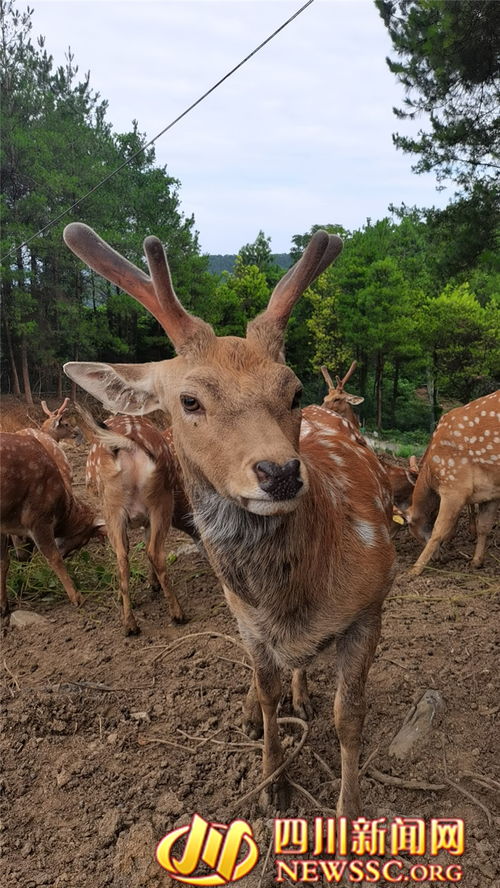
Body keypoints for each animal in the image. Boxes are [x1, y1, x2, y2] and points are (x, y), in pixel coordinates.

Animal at [0, 430, 103, 616]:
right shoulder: (38, 517)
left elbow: (3, 562)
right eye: (83, 541)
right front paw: (77, 597)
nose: (23, 557)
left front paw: (4, 606)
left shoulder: (4, 526)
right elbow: (54, 557)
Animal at [83, 412, 188, 636]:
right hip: (156, 504)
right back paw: (138, 622)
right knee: (145, 553)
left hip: (118, 506)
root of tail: (130, 446)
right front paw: (152, 584)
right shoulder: (146, 519)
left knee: (129, 556)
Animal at [408, 390, 498, 576]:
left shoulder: (454, 483)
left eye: (410, 525)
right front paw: (476, 562)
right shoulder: (490, 491)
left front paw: (415, 569)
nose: (438, 558)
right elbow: (484, 525)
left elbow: (439, 529)